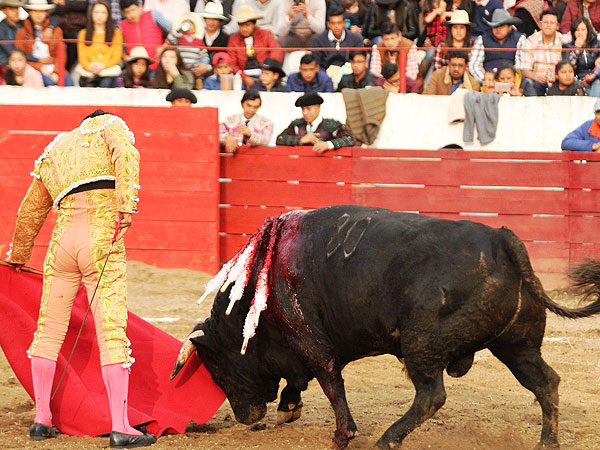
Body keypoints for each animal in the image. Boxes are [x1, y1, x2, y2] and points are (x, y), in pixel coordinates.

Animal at [171, 205, 600, 449]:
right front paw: (288, 410)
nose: (245, 417)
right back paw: (547, 442)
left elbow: (330, 384)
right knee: (545, 382)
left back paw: (386, 440)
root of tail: (501, 239)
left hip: (422, 346)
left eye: (217, 367)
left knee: (430, 396)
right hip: (517, 345)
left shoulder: (310, 341)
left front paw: (342, 436)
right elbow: (300, 380)